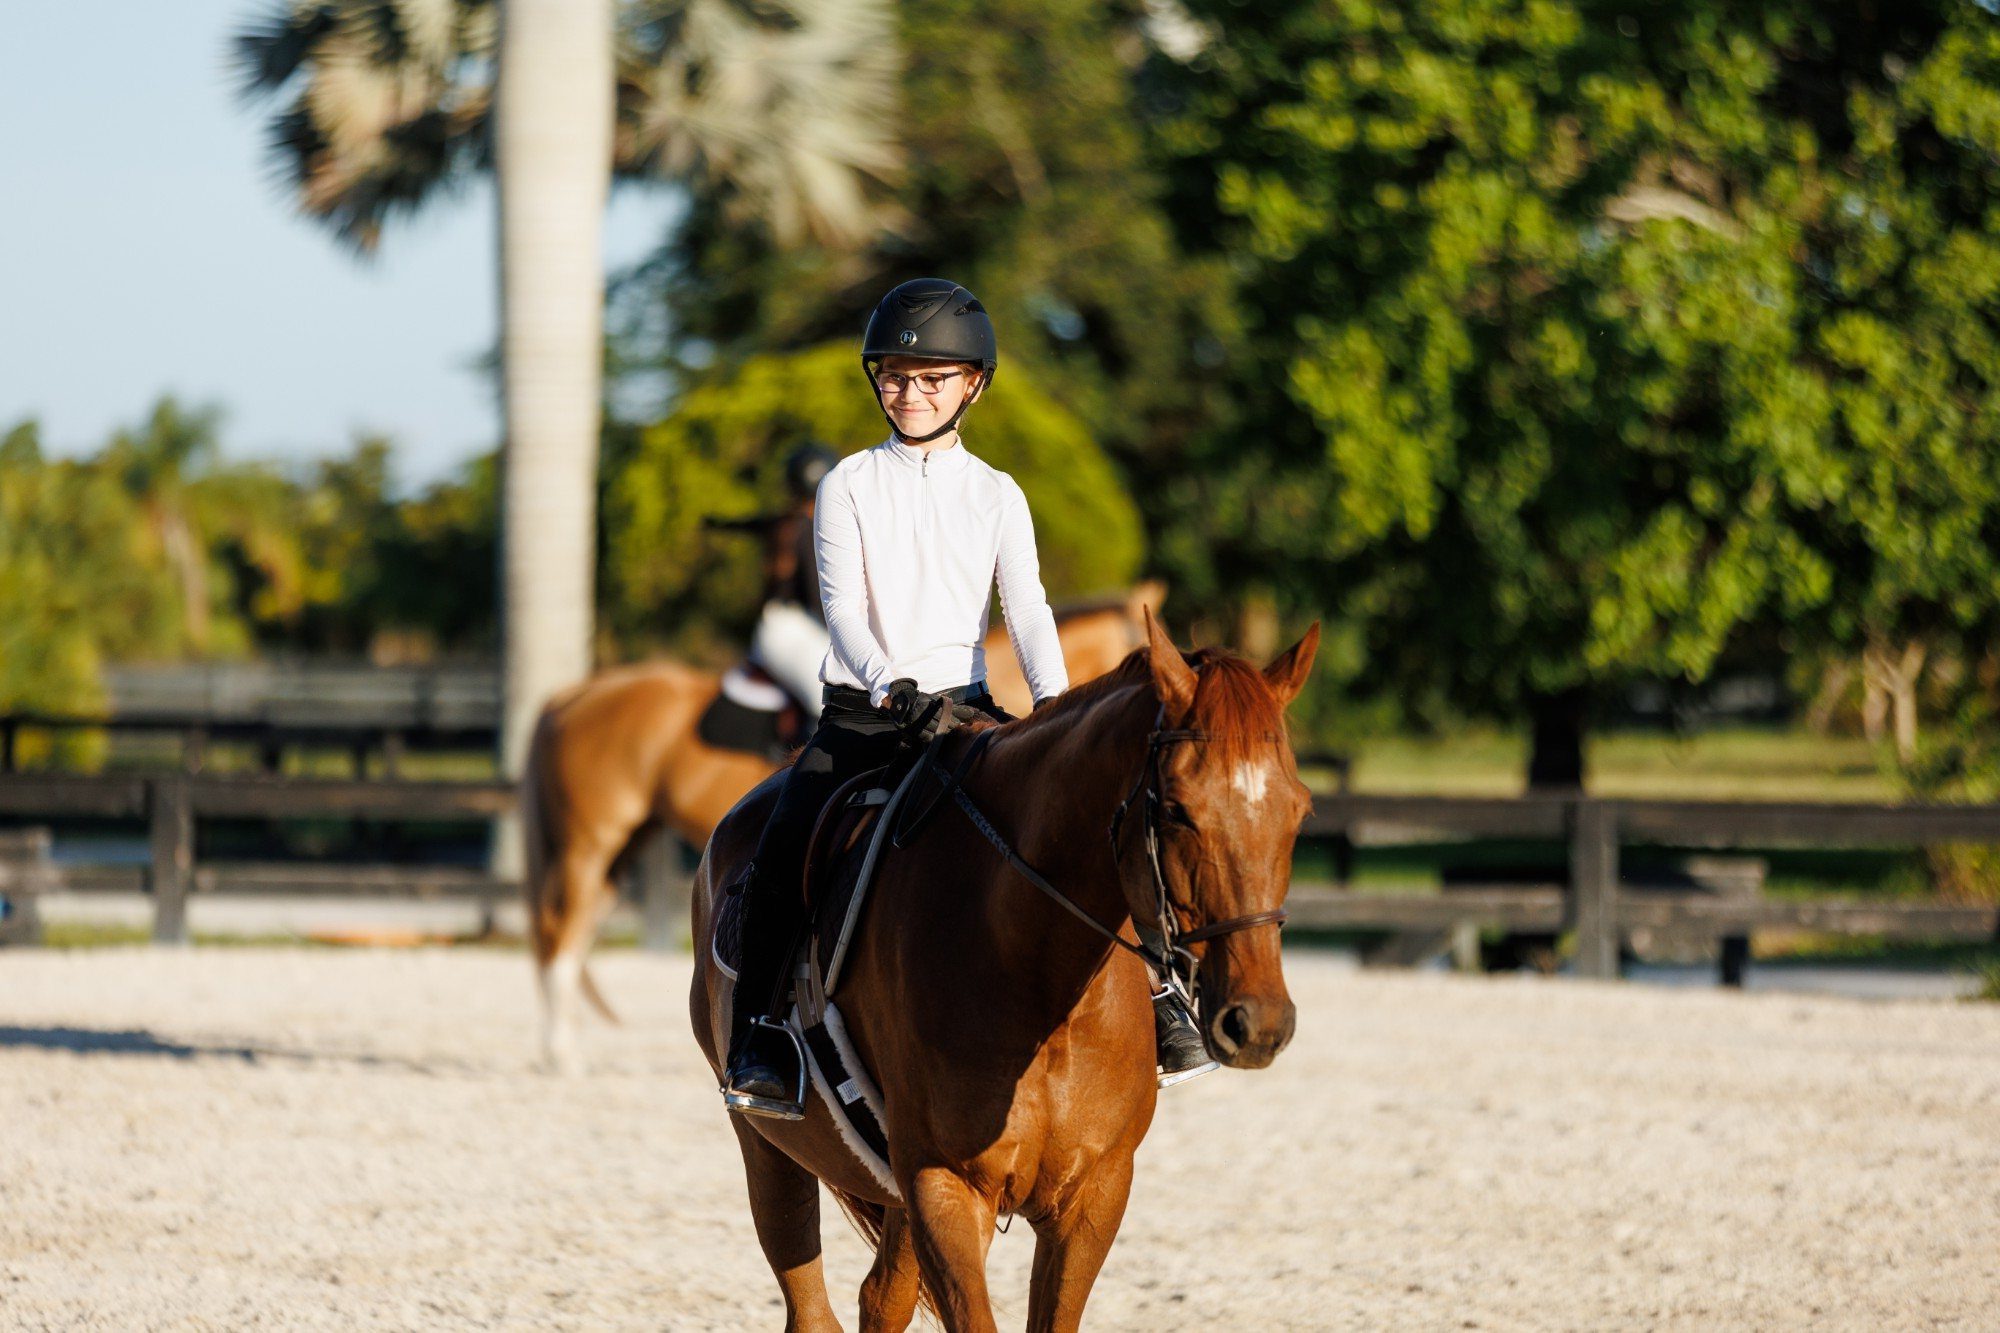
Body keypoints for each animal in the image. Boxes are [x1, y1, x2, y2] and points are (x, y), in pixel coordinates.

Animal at [522, 583, 1165, 1072]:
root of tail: (571, 697)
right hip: (591, 843)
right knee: (562, 929)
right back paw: (561, 1054)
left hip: (621, 846)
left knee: (572, 930)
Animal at [690, 609, 1319, 1331]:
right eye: (1177, 809)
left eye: (1299, 810)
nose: (1258, 1023)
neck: (1039, 985)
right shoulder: (944, 1188)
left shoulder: (1094, 1196)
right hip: (768, 1144)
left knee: (882, 1296)